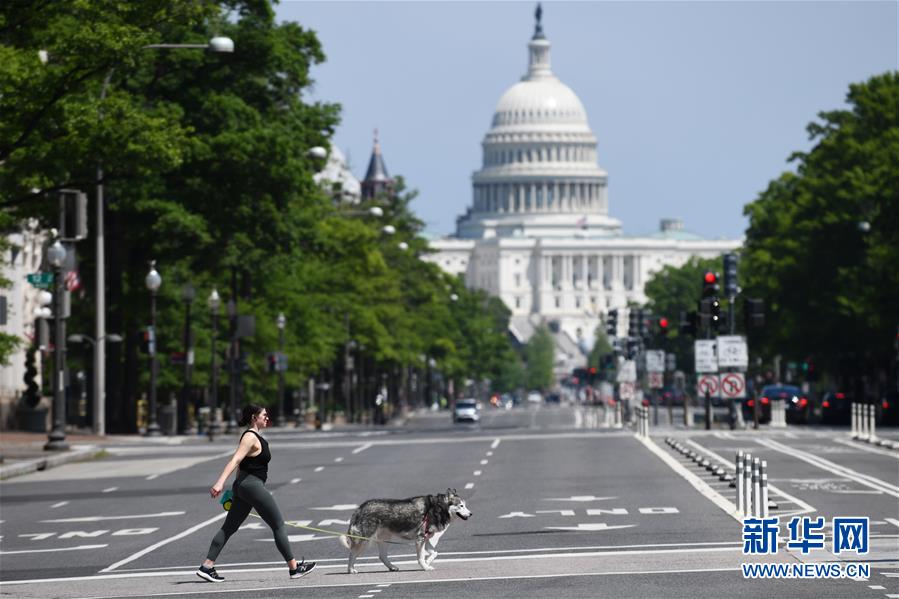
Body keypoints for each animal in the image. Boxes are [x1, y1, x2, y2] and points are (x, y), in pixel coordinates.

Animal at [342, 490, 474, 576]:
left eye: (465, 505)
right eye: (461, 505)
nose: (471, 514)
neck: (437, 508)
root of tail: (360, 508)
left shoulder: (425, 537)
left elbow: (434, 553)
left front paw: (428, 563)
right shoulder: (420, 538)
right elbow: (421, 557)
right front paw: (425, 566)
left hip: (384, 538)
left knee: (382, 556)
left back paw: (392, 567)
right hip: (364, 540)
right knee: (352, 554)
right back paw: (351, 570)